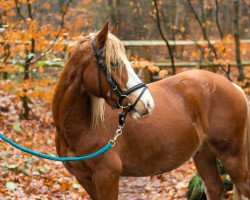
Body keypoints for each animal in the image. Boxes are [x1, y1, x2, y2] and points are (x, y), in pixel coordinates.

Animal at [51, 21, 249, 199]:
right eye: (114, 63)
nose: (147, 103)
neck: (80, 128)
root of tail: (233, 87)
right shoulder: (85, 179)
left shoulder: (106, 176)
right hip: (203, 155)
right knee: (215, 187)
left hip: (231, 155)